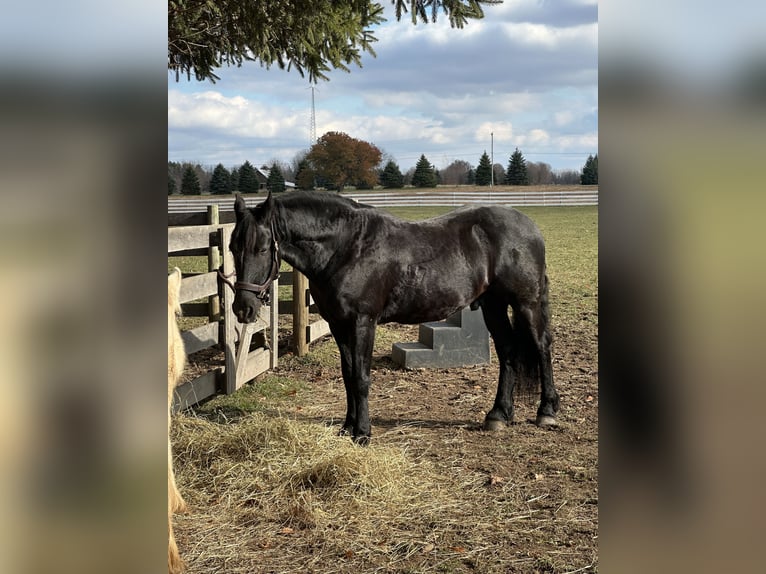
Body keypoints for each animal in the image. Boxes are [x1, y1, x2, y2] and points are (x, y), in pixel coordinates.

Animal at [227, 191, 559, 444]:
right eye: (232, 247)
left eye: (262, 248)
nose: (243, 308)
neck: (347, 247)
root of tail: (529, 226)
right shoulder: (339, 325)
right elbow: (348, 376)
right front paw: (347, 427)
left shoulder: (363, 322)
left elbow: (361, 378)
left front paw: (362, 433)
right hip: (493, 306)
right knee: (508, 352)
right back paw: (499, 415)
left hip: (526, 304)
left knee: (541, 347)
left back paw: (547, 412)